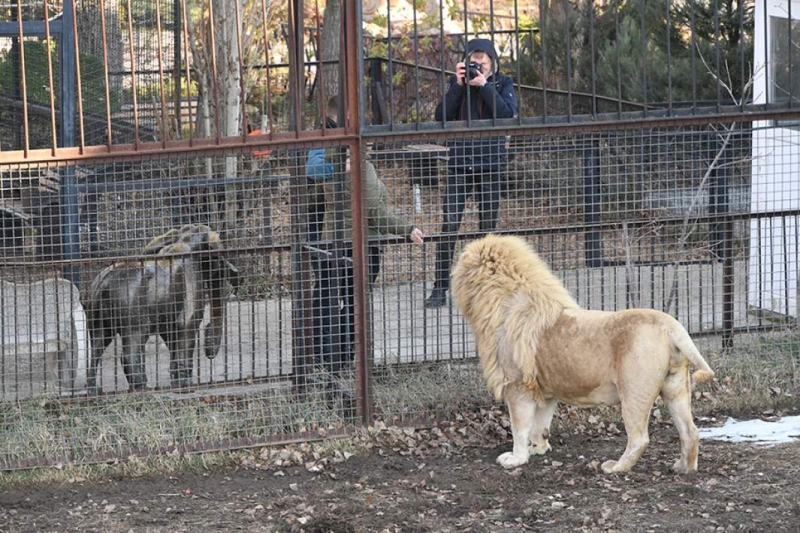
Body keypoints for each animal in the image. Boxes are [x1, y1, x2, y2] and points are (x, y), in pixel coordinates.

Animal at [450, 235, 720, 472]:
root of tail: (670, 325)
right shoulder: (546, 389)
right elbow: (540, 425)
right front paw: (538, 449)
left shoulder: (518, 386)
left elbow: (520, 427)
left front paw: (516, 458)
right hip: (675, 387)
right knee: (690, 432)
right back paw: (683, 468)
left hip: (634, 390)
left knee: (639, 438)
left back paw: (615, 468)